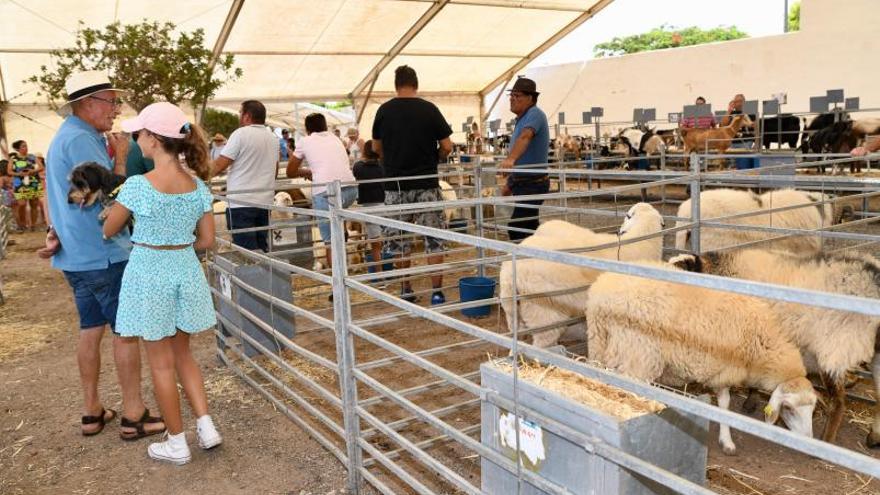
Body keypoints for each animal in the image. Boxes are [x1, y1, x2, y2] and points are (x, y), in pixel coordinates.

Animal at [498, 203, 664, 346]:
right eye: (627, 215)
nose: (619, 231)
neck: (641, 241)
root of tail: (509, 274)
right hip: (544, 312)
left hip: (513, 311)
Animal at [584, 262, 820, 456]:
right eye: (788, 408)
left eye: (813, 410)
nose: (808, 442)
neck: (761, 341)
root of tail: (601, 294)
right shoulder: (724, 371)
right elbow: (724, 405)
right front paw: (727, 441)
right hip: (638, 354)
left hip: (600, 343)